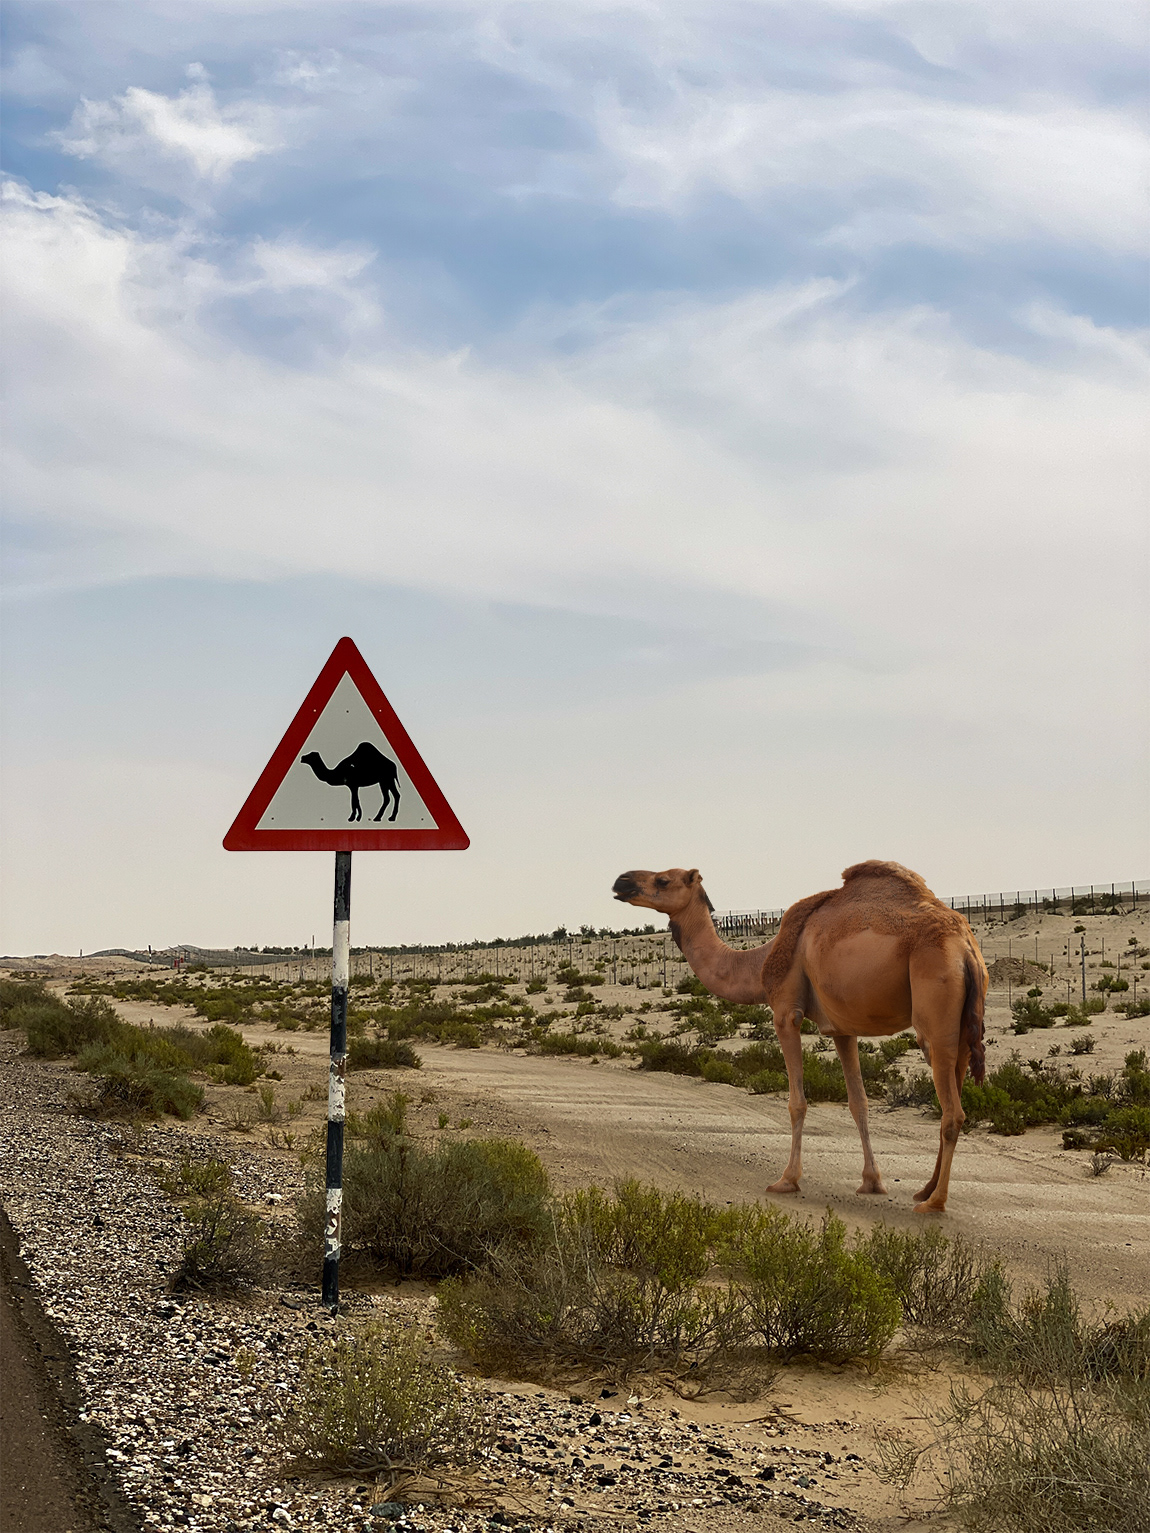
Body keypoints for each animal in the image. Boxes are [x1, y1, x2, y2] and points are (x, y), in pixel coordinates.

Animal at [612, 861, 987, 1212]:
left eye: (663, 880)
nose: (621, 881)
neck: (759, 964)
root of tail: (966, 950)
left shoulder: (785, 1011)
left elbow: (797, 1102)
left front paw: (787, 1180)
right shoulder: (841, 1028)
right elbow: (859, 1103)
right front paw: (871, 1182)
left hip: (933, 1009)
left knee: (952, 1111)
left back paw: (934, 1201)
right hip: (961, 1027)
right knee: (953, 1091)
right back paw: (924, 1189)